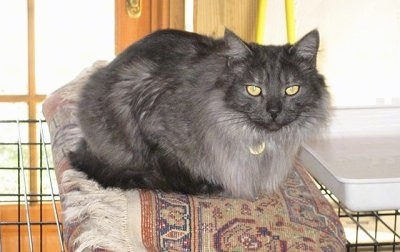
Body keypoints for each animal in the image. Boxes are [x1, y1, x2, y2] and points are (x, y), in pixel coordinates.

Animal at [69, 28, 332, 200]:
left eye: (292, 89)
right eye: (254, 89)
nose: (274, 111)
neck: (259, 143)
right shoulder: (154, 129)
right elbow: (172, 169)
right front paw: (205, 186)